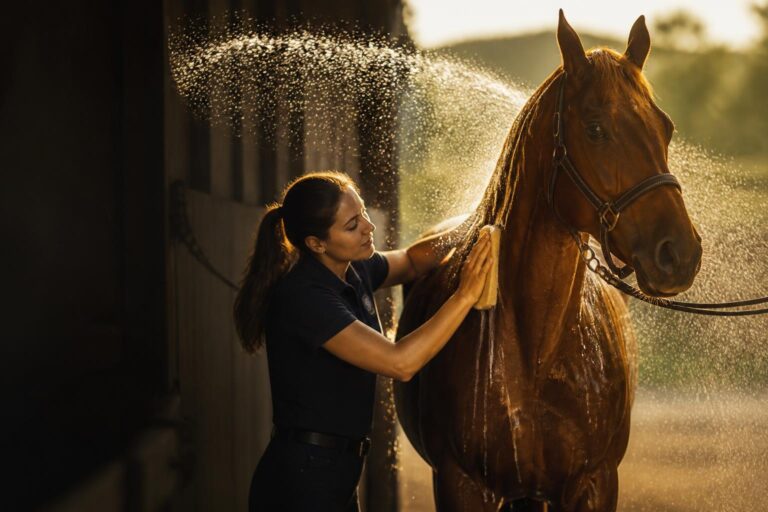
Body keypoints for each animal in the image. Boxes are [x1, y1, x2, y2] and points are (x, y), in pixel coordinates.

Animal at [394, 11, 702, 512]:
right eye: (595, 128)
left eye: (666, 127)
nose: (680, 253)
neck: (537, 350)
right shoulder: (461, 483)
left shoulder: (594, 482)